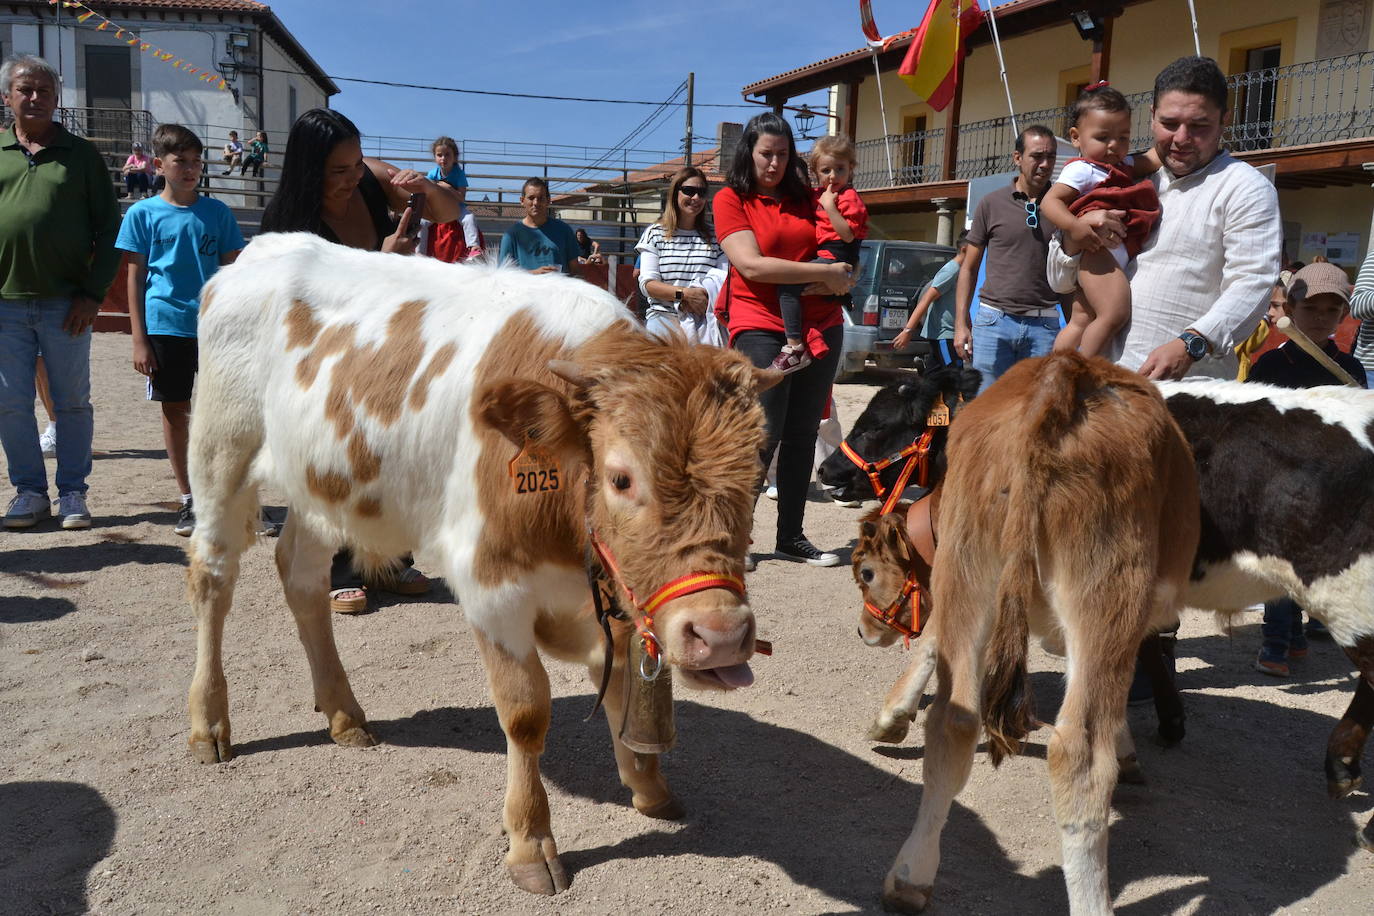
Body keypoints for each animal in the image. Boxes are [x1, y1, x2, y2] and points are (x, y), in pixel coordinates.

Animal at [186, 230, 780, 895]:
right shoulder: (492, 585)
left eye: (756, 471)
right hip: (220, 451)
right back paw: (209, 724)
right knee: (213, 576)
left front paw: (649, 786)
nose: (721, 635)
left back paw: (343, 713)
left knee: (301, 576)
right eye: (621, 478)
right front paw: (531, 841)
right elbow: (525, 713)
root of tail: (264, 247)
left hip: (322, 484)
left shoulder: (621, 594)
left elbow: (625, 686)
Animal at [873, 354, 1198, 911]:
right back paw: (1093, 903)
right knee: (1080, 755)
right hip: (1109, 590)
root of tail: (1062, 374)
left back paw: (910, 876)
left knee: (954, 720)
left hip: (970, 563)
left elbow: (933, 637)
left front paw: (892, 716)